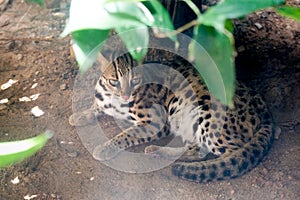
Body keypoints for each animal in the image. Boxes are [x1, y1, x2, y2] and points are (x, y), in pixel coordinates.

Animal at [69, 50, 274, 182]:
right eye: (114, 81)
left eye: (135, 80)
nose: (126, 95)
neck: (112, 98)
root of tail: (264, 109)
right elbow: (95, 107)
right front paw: (79, 115)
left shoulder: (156, 122)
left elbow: (125, 134)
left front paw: (106, 147)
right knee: (196, 147)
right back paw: (159, 151)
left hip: (200, 109)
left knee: (228, 153)